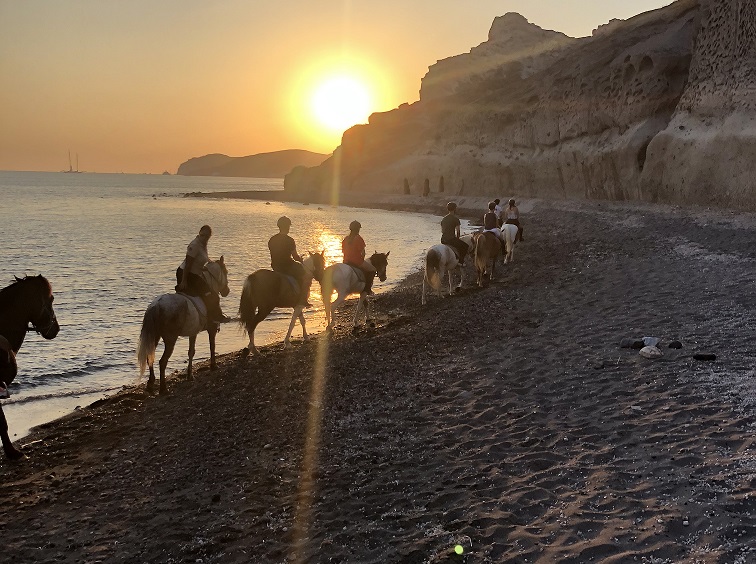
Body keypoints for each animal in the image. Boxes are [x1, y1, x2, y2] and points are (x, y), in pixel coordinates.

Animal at [137, 257, 229, 395]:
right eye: (226, 272)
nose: (226, 291)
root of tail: (156, 305)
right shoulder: (211, 329)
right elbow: (212, 346)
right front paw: (213, 366)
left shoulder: (193, 333)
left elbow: (191, 352)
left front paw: (190, 375)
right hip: (170, 339)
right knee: (162, 361)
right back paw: (163, 389)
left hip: (154, 336)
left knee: (150, 357)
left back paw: (150, 384)